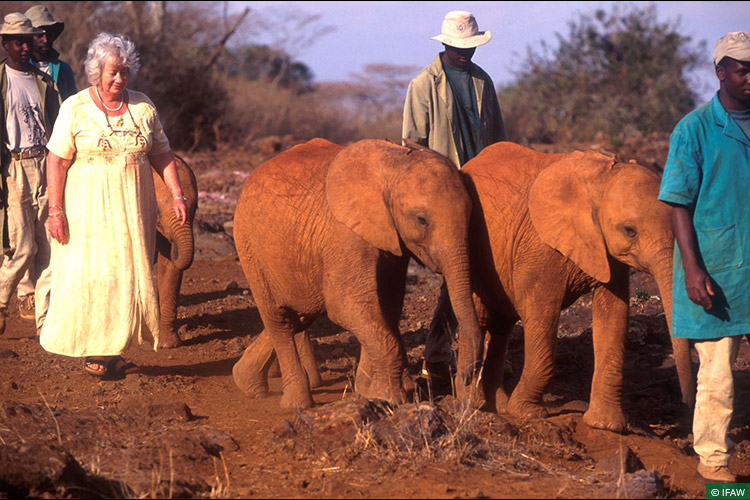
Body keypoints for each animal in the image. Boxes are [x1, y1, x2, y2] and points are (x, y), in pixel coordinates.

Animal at [231, 138, 484, 409]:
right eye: (421, 220)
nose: (465, 377)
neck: (394, 162)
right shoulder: (345, 235)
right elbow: (346, 305)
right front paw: (390, 397)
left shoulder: (392, 240)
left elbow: (386, 306)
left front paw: (371, 390)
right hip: (249, 246)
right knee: (278, 318)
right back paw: (296, 404)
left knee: (301, 313)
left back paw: (245, 382)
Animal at [456, 141, 692, 433]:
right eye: (630, 231)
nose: (686, 406)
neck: (601, 179)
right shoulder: (541, 243)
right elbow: (541, 311)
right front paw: (528, 413)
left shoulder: (606, 249)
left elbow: (613, 314)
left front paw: (606, 426)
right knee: (481, 315)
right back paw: (472, 404)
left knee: (502, 324)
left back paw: (496, 405)